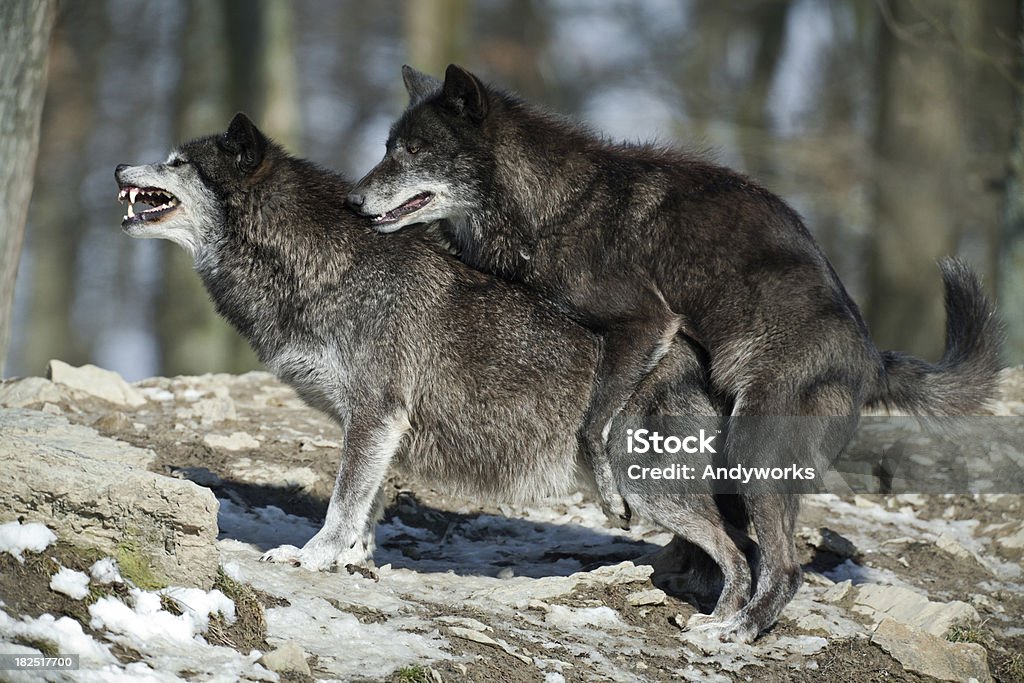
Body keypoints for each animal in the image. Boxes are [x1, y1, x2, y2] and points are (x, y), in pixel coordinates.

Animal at [114, 114, 753, 610]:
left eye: (176, 163)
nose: (120, 168)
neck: (329, 268)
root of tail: (707, 364)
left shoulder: (375, 415)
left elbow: (343, 504)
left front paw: (312, 558)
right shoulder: (378, 428)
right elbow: (366, 507)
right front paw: (354, 562)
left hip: (649, 490)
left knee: (743, 555)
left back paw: (725, 627)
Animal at [348, 63, 1003, 643]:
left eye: (413, 150)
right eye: (388, 147)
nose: (353, 200)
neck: (556, 201)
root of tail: (871, 360)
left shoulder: (644, 323)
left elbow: (593, 425)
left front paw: (610, 493)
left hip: (755, 453)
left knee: (783, 566)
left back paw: (735, 633)